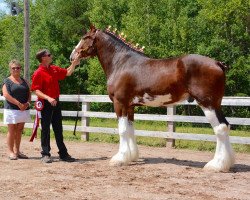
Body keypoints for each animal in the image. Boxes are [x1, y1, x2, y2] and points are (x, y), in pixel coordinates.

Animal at [70, 25, 234, 172]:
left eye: (85, 37)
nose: (72, 56)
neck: (121, 63)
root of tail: (217, 63)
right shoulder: (130, 106)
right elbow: (130, 129)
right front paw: (131, 156)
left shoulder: (120, 103)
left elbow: (122, 130)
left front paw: (119, 159)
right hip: (215, 104)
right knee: (225, 126)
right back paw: (226, 163)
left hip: (207, 103)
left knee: (219, 128)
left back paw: (216, 165)